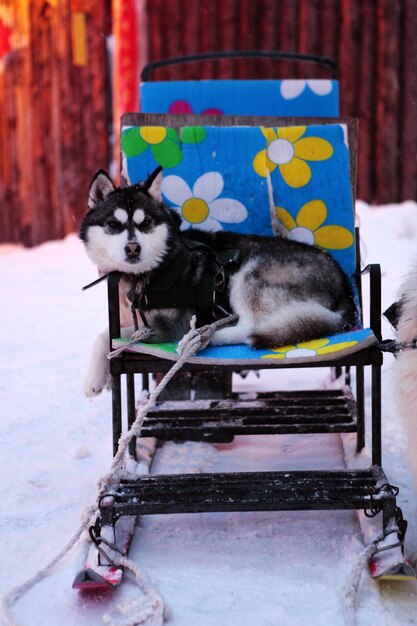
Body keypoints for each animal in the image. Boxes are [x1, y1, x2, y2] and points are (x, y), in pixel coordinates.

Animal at [79, 167, 356, 394]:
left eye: (145, 222)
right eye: (113, 224)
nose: (133, 248)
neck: (145, 275)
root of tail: (346, 289)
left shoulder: (167, 326)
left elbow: (108, 335)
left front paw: (93, 378)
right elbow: (109, 332)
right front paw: (100, 377)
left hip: (250, 274)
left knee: (247, 328)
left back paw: (205, 335)